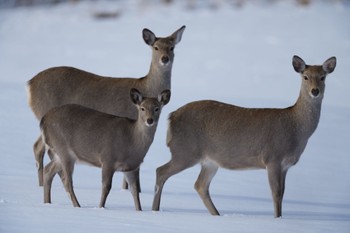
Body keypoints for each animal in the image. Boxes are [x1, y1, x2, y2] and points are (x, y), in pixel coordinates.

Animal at [26, 25, 186, 191]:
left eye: (172, 47)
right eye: (156, 47)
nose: (165, 59)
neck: (147, 87)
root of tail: (30, 84)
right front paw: (128, 189)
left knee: (39, 148)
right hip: (45, 110)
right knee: (40, 148)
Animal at [40, 88, 170, 210]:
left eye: (157, 108)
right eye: (142, 108)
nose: (150, 120)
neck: (131, 143)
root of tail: (44, 119)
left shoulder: (131, 166)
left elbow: (134, 191)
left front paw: (140, 210)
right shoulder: (107, 159)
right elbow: (106, 187)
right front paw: (101, 207)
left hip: (59, 154)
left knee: (48, 170)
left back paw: (47, 202)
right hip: (64, 149)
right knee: (67, 181)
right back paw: (77, 206)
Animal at [152, 55, 336, 218]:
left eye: (323, 77)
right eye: (305, 77)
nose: (315, 91)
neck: (296, 129)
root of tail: (171, 117)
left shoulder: (285, 166)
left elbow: (282, 193)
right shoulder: (273, 158)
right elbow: (276, 193)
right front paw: (277, 219)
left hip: (209, 161)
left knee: (200, 185)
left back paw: (217, 215)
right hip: (185, 151)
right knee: (161, 171)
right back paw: (155, 210)